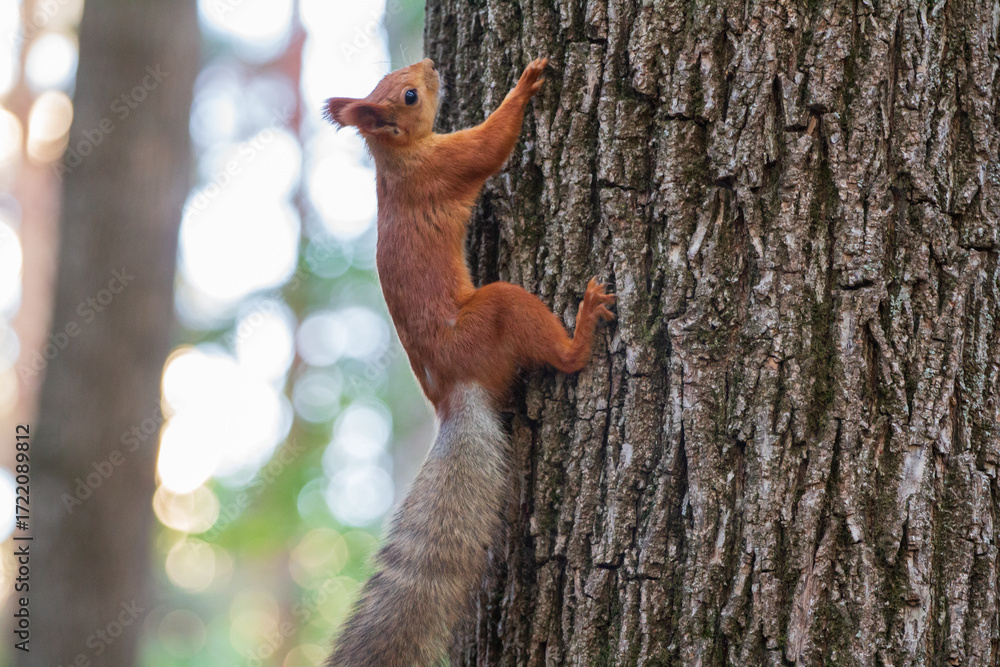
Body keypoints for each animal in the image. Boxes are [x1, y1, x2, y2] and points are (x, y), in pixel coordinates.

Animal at [322, 57, 614, 667]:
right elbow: (490, 147)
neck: (397, 159)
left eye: (401, 77)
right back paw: (583, 326)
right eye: (410, 95)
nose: (430, 64)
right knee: (562, 357)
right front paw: (526, 84)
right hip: (497, 311)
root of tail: (453, 390)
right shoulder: (448, 166)